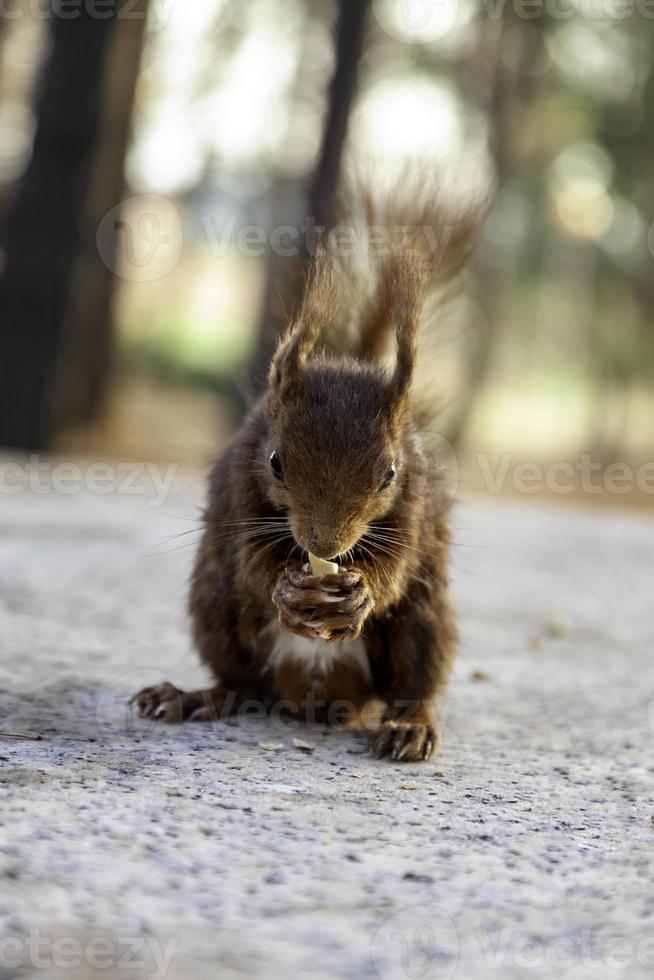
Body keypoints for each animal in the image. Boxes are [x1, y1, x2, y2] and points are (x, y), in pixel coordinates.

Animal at [132, 186, 482, 764]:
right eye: (276, 461)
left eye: (389, 474)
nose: (325, 546)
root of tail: (319, 696)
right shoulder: (238, 487)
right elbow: (251, 559)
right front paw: (286, 587)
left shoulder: (416, 503)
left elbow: (397, 564)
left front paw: (363, 591)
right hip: (215, 610)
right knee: (242, 684)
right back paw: (191, 696)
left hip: (425, 624)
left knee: (416, 686)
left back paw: (410, 726)